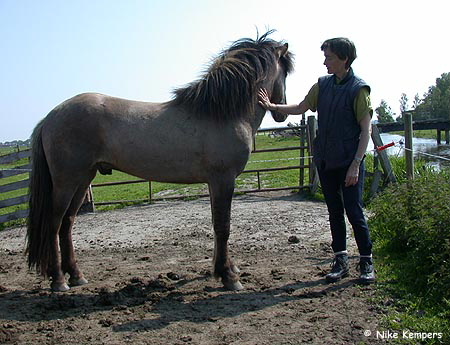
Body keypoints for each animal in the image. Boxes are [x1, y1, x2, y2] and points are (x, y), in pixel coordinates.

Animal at [27, 30, 296, 292]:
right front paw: (229, 276)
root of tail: (50, 117)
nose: (281, 112)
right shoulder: (223, 179)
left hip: (83, 179)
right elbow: (223, 226)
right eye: (285, 73)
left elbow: (215, 223)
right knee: (54, 223)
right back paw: (58, 280)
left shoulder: (214, 182)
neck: (220, 113)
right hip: (67, 181)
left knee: (67, 223)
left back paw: (76, 276)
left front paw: (220, 269)